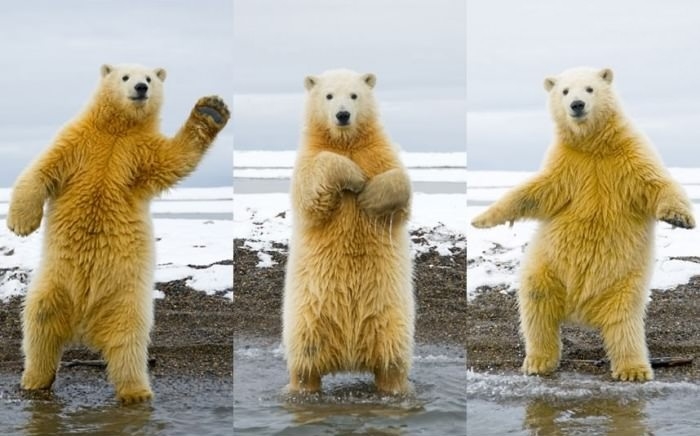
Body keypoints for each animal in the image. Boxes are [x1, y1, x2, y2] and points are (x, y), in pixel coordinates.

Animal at [6, 63, 230, 404]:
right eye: (125, 76)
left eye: (149, 78)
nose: (140, 88)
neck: (117, 130)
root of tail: (83, 321)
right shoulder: (78, 140)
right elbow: (41, 170)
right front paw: (21, 224)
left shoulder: (138, 152)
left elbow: (174, 159)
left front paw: (211, 110)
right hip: (55, 282)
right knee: (39, 323)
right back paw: (34, 380)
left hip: (125, 296)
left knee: (128, 341)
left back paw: (136, 392)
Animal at [283, 69, 415, 394]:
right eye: (328, 95)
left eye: (355, 95)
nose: (343, 115)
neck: (346, 142)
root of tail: (350, 357)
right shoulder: (309, 157)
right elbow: (310, 189)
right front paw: (353, 177)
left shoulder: (378, 152)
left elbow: (400, 183)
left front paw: (368, 196)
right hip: (306, 318)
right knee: (305, 361)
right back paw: (301, 386)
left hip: (390, 316)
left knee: (392, 359)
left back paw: (394, 386)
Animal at [471, 67, 694, 381]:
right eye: (564, 91)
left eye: (589, 88)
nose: (577, 105)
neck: (594, 146)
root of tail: (581, 310)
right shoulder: (567, 166)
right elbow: (533, 193)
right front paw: (481, 218)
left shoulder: (629, 156)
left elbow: (657, 184)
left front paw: (681, 218)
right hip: (547, 267)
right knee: (537, 305)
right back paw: (538, 361)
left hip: (624, 282)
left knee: (624, 322)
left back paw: (633, 369)